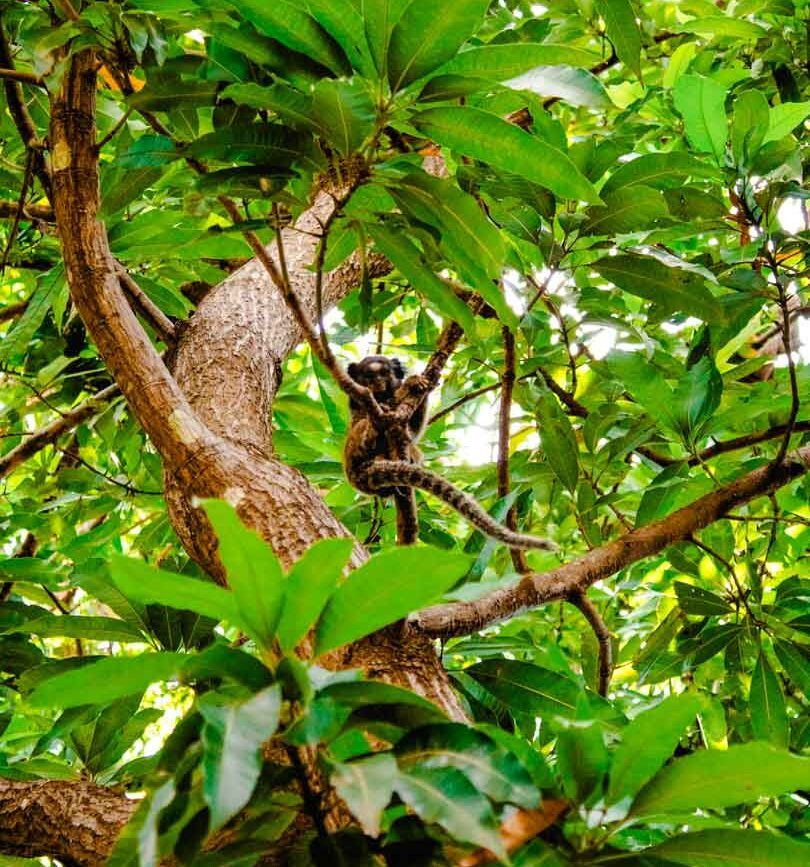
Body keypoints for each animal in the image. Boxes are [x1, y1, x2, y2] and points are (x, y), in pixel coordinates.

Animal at [343, 356, 556, 552]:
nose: (377, 382)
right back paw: (373, 432)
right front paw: (407, 386)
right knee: (364, 426)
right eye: (369, 376)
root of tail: (353, 475)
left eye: (384, 373)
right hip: (354, 451)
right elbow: (386, 411)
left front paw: (420, 383)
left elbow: (412, 432)